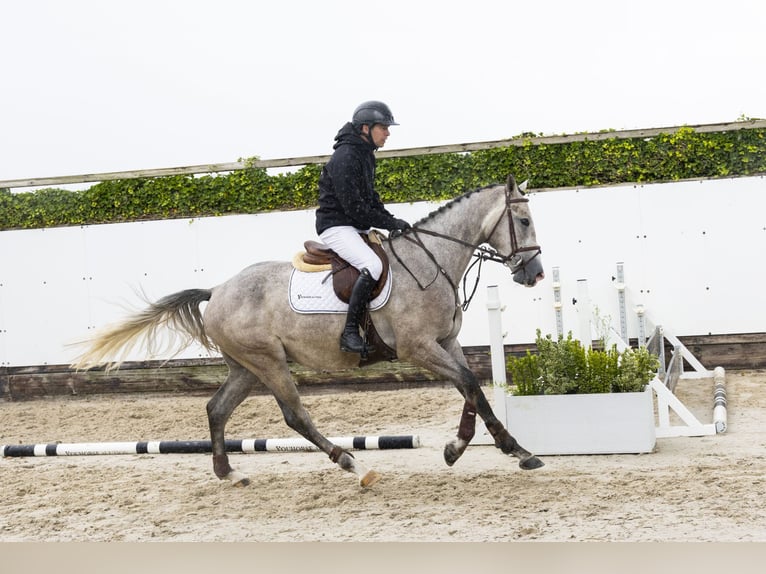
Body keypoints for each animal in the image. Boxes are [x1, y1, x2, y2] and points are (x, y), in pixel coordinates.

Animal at [72, 174, 546, 488]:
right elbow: (470, 385)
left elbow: (472, 388)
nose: (535, 274)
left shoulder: (446, 342)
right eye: (523, 222)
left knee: (217, 409)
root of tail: (218, 289)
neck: (431, 260)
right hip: (268, 361)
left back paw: (228, 473)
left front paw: (474, 449)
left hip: (245, 367)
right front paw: (503, 449)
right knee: (294, 414)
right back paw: (352, 464)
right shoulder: (418, 348)